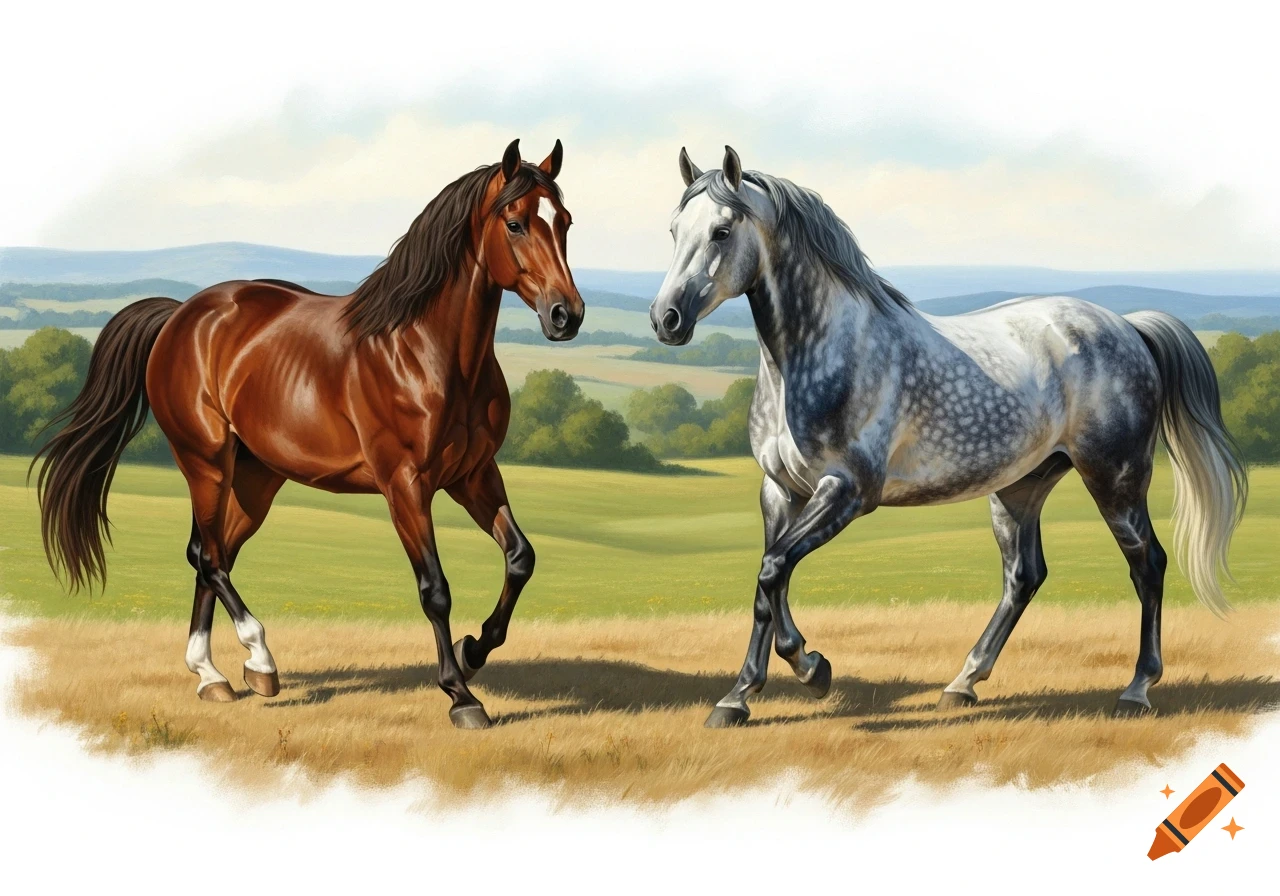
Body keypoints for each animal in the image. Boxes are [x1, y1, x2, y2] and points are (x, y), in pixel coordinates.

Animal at [33, 138, 583, 730]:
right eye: (515, 223)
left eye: (565, 221)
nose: (566, 315)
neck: (424, 351)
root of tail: (181, 315)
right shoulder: (406, 486)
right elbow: (435, 590)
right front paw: (461, 696)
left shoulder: (473, 474)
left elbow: (521, 558)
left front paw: (473, 650)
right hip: (205, 461)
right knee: (208, 556)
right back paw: (257, 659)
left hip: (255, 479)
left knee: (213, 552)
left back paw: (214, 676)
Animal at [651, 146, 1247, 728]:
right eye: (675, 229)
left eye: (721, 231)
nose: (666, 319)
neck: (821, 353)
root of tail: (1129, 327)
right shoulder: (779, 490)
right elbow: (766, 584)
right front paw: (738, 698)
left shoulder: (847, 491)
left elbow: (774, 570)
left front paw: (812, 669)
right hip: (1020, 486)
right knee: (1023, 577)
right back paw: (962, 685)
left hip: (1115, 478)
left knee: (1147, 563)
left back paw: (1136, 690)